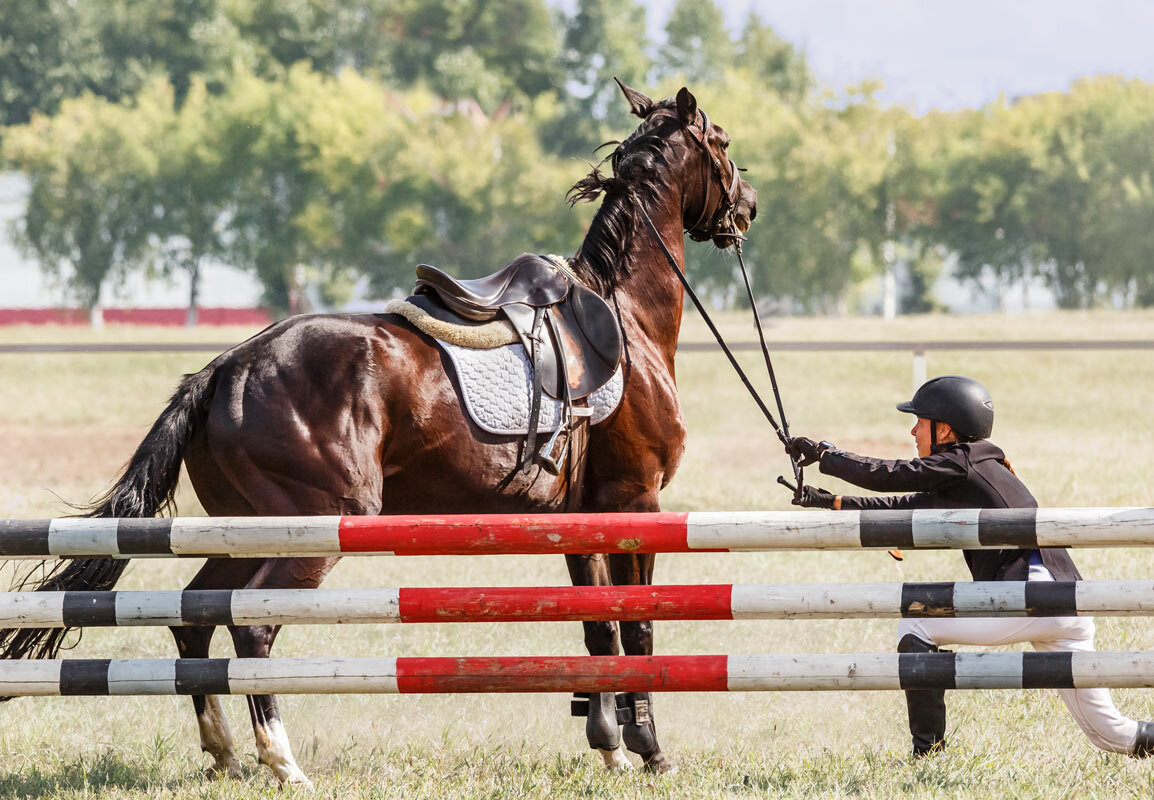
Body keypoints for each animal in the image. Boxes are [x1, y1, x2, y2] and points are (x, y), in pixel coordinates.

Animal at [6, 81, 757, 780]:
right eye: (721, 142)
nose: (747, 205)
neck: (623, 313)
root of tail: (224, 369)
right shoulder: (636, 502)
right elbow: (639, 624)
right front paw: (649, 750)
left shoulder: (579, 517)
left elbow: (600, 628)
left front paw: (610, 748)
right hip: (318, 523)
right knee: (252, 625)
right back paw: (283, 761)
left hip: (248, 527)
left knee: (196, 614)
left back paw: (225, 754)